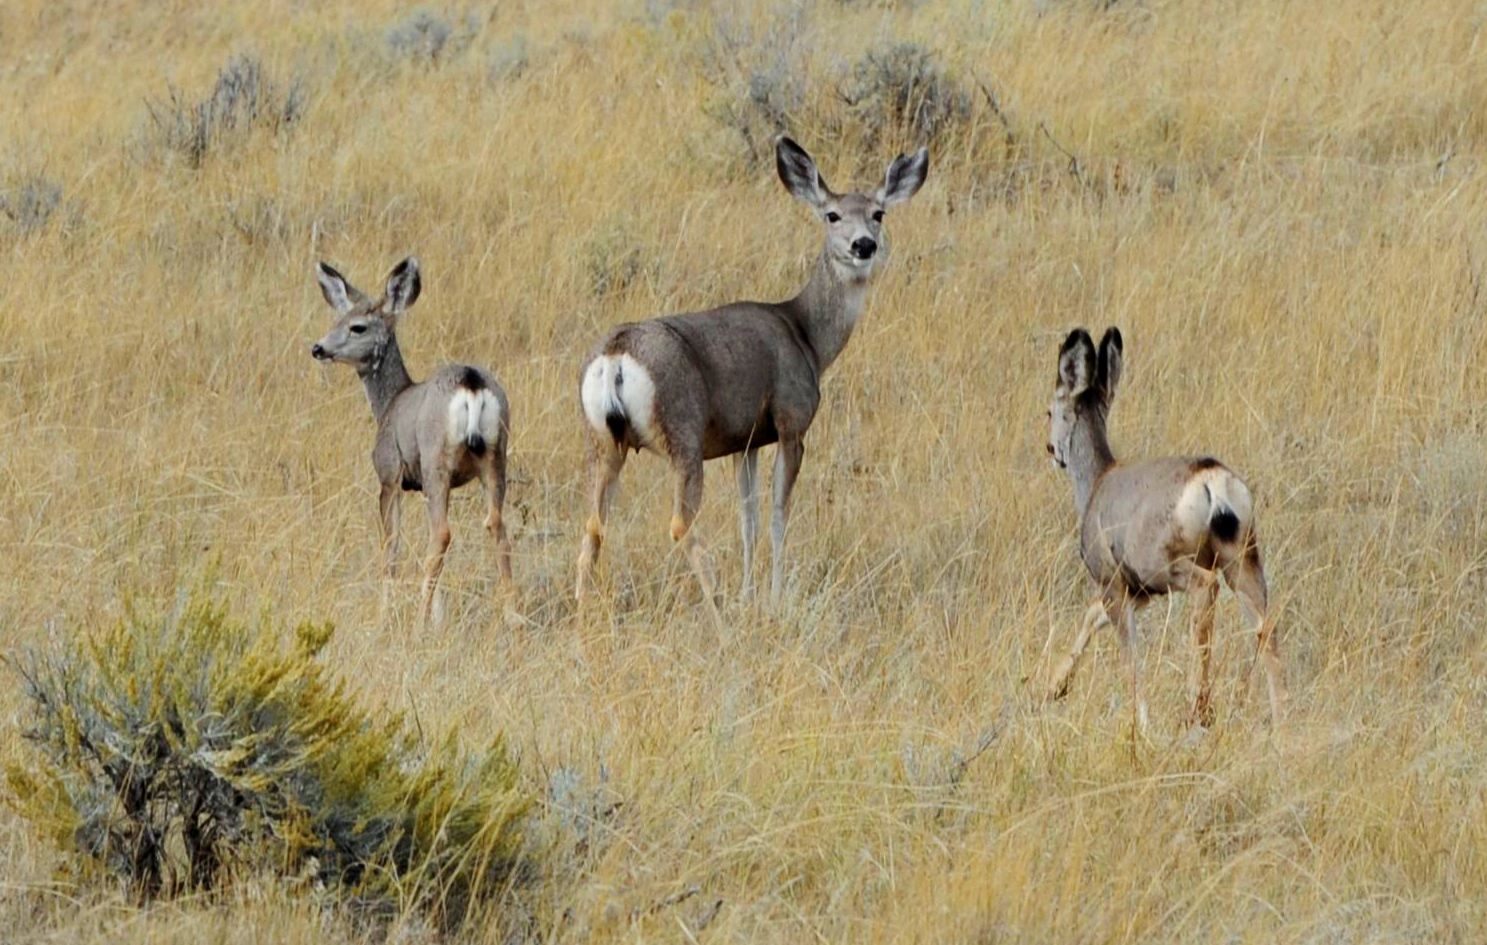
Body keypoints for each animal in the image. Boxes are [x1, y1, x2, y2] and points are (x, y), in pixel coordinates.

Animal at [1046, 325, 1290, 731]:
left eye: (1049, 410)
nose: (1051, 449)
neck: (1096, 483)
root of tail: (1213, 481)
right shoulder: (1138, 590)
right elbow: (1091, 616)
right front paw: (1053, 685)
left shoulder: (1114, 580)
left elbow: (1129, 659)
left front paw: (1138, 722)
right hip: (1244, 557)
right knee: (1266, 626)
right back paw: (1279, 718)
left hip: (1167, 561)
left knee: (1206, 590)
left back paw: (1199, 707)